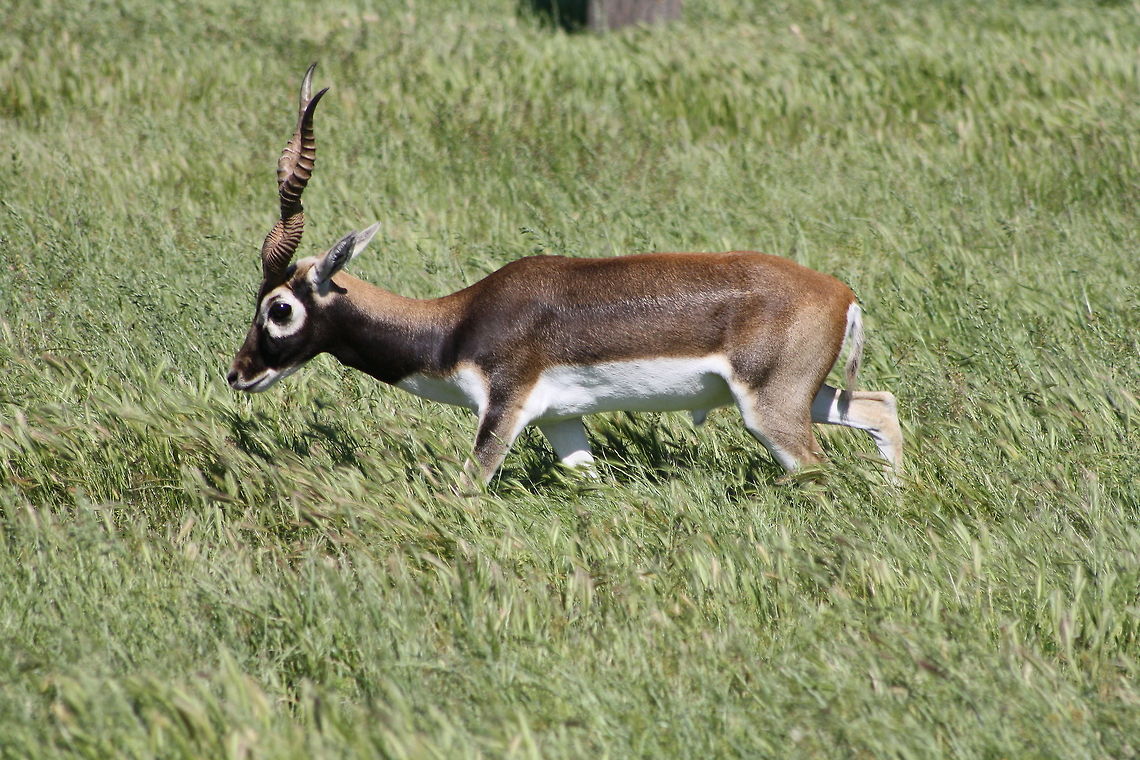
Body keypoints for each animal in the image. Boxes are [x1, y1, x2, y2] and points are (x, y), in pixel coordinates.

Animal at [227, 65, 903, 484]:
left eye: (279, 308)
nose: (238, 374)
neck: (457, 323)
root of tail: (842, 293)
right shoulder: (561, 420)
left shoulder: (503, 408)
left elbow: (467, 488)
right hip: (800, 395)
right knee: (880, 407)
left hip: (769, 410)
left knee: (818, 466)